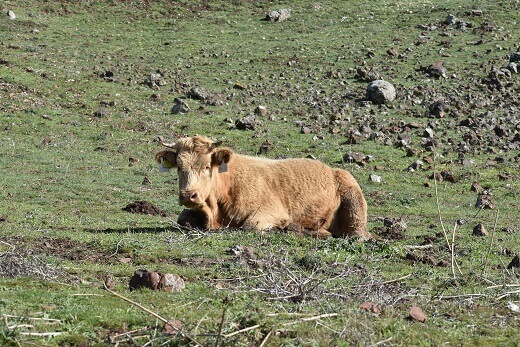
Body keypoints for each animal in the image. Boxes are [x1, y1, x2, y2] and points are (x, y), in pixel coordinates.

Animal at [154, 137, 370, 241]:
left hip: (354, 205)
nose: (188, 195)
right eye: (179, 167)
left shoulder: (271, 212)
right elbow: (183, 219)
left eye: (207, 166)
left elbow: (250, 226)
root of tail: (333, 170)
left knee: (357, 233)